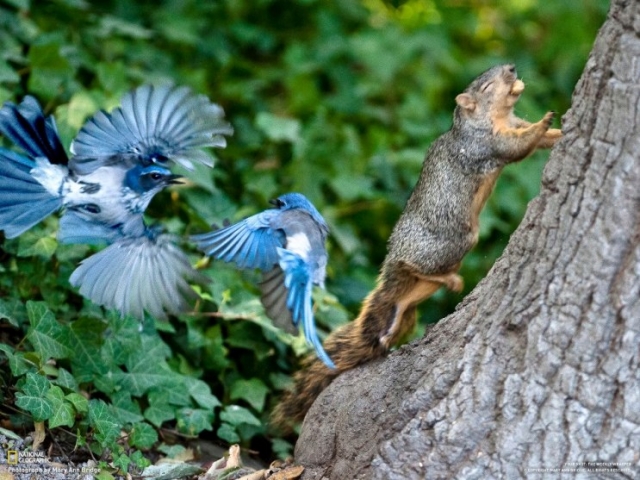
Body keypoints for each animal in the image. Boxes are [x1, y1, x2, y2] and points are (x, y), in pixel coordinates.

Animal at [272, 64, 564, 432]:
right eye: (485, 86)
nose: (511, 68)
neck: (491, 118)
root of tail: (394, 257)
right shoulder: (484, 145)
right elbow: (517, 146)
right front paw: (545, 121)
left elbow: (535, 139)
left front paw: (559, 129)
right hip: (453, 242)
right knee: (415, 266)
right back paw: (442, 279)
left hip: (417, 295)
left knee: (403, 302)